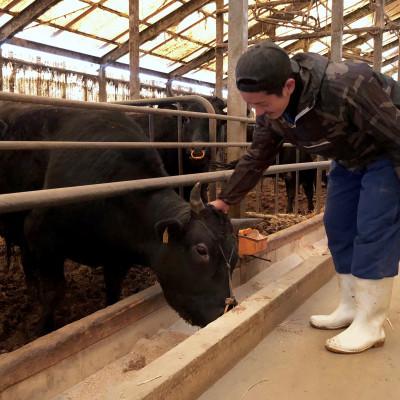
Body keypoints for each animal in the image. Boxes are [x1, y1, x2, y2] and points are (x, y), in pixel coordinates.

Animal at [0, 102, 238, 332]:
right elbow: (53, 293)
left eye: (233, 255)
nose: (226, 309)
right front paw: (42, 328)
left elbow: (113, 294)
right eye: (201, 250)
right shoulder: (41, 237)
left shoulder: (117, 259)